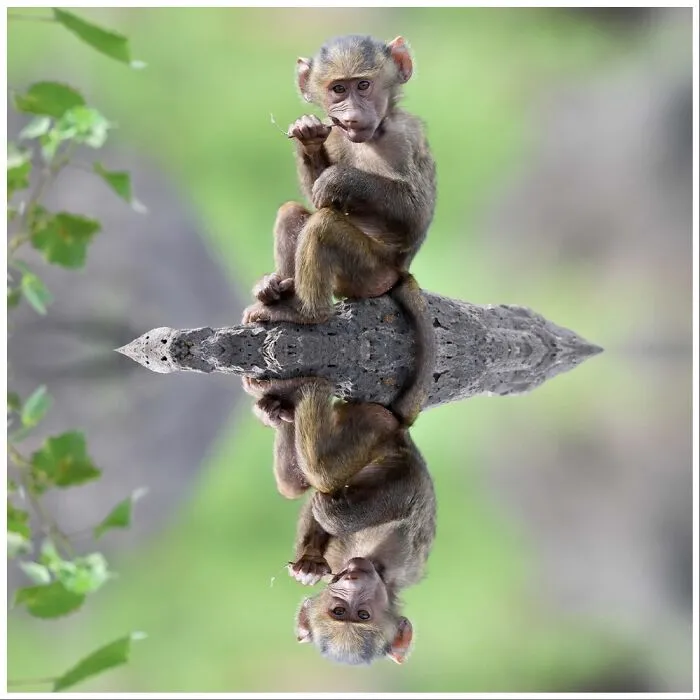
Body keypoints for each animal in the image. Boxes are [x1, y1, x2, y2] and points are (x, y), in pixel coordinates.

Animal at [242, 34, 436, 331]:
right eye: (338, 89)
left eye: (363, 85)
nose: (351, 117)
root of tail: (399, 274)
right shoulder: (335, 135)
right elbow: (316, 197)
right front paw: (308, 134)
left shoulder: (405, 137)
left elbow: (416, 215)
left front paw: (338, 179)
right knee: (291, 212)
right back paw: (276, 290)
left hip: (370, 272)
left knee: (323, 227)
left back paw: (306, 312)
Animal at [242, 375, 436, 665]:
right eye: (338, 611)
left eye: (363, 615)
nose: (351, 579)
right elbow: (315, 506)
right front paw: (310, 564)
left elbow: (324, 506)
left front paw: (310, 567)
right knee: (301, 486)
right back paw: (287, 397)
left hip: (392, 463)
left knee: (320, 484)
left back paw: (300, 394)